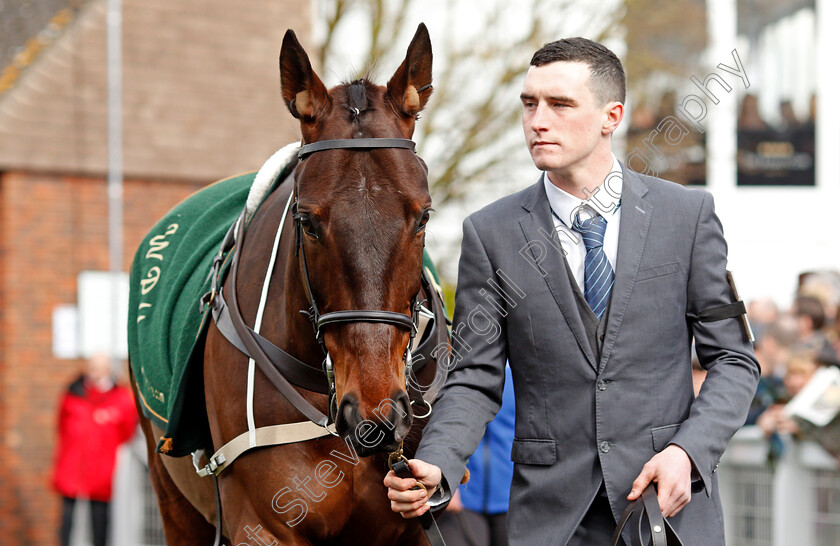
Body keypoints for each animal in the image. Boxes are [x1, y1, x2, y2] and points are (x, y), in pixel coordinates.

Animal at [136, 23, 452, 540]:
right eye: (306, 221)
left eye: (423, 216)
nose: (376, 414)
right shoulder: (260, 526)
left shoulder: (410, 525)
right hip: (173, 499)